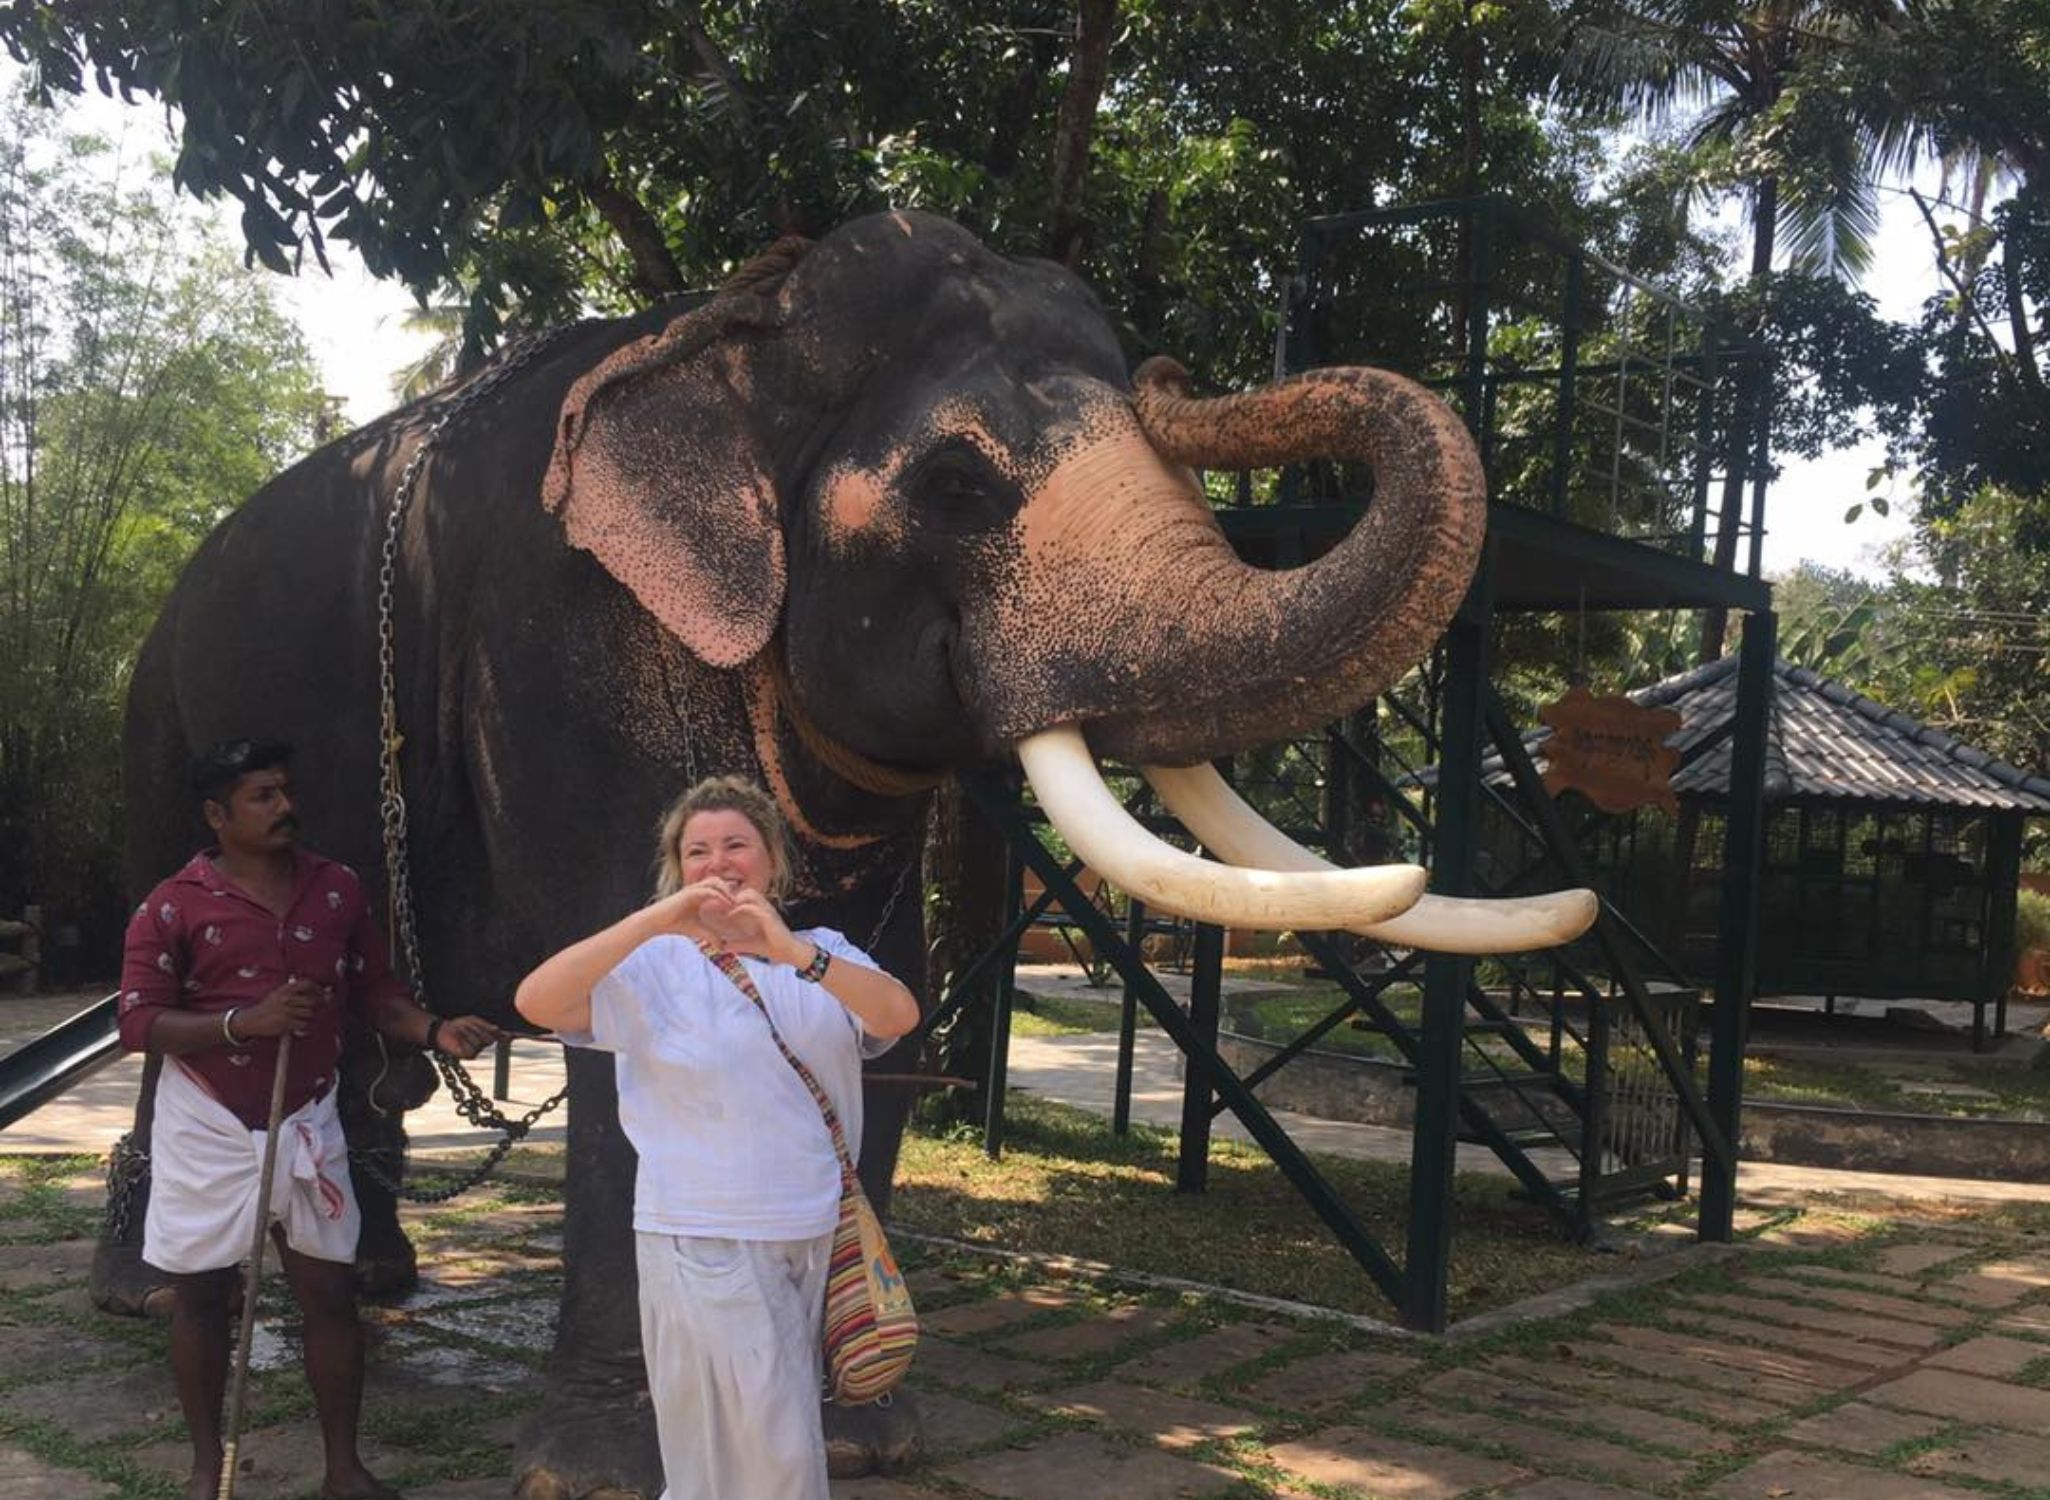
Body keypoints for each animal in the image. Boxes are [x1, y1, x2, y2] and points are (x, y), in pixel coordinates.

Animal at [104, 211, 1590, 1500]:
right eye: (955, 484)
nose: (1179, 376)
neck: (735, 325)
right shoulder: (555, 660)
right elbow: (617, 1017)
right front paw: (597, 1473)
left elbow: (884, 1013)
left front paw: (870, 1440)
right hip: (158, 731)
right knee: (175, 1018)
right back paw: (153, 1291)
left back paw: (375, 1283)